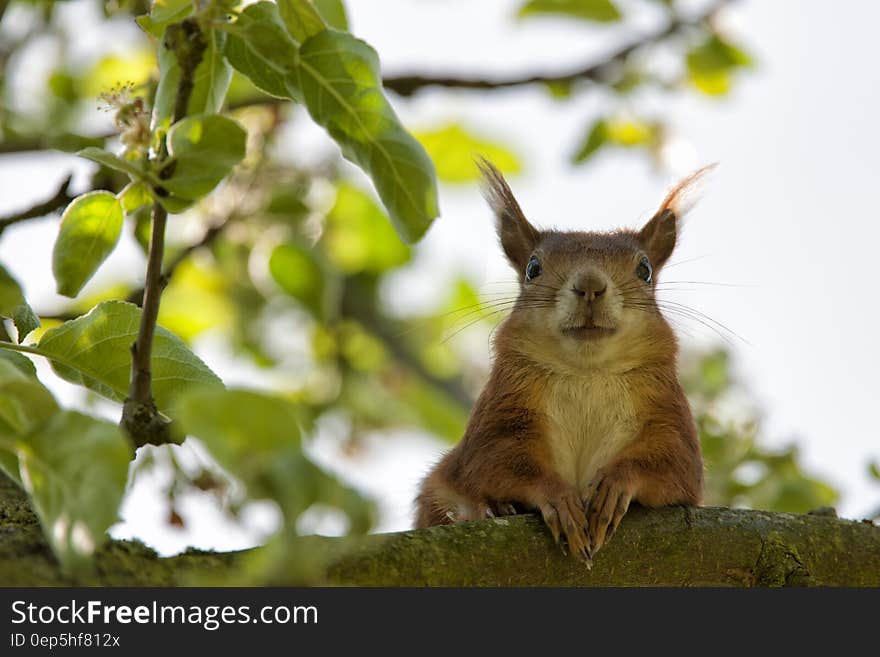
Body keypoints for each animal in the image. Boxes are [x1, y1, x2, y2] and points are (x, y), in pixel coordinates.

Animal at [412, 158, 708, 560]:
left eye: (644, 269)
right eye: (532, 268)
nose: (590, 286)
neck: (587, 372)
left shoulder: (668, 416)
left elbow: (675, 466)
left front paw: (615, 485)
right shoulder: (500, 413)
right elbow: (494, 462)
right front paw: (559, 499)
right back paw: (494, 509)